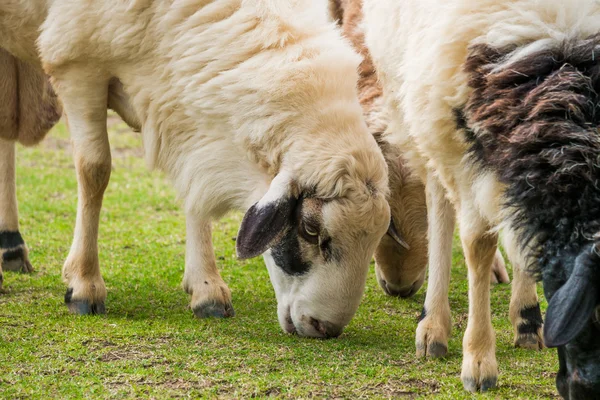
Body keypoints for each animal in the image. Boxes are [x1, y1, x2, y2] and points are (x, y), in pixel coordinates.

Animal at [1, 0, 394, 338]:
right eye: (311, 230)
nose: (325, 328)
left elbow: (196, 193)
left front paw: (207, 289)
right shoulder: (76, 63)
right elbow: (94, 169)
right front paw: (84, 284)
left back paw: (10, 247)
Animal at [360, 0, 600, 394]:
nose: (582, 390)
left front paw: (527, 319)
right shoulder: (458, 140)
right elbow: (478, 244)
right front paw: (478, 361)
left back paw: (526, 317)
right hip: (418, 107)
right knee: (438, 202)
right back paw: (433, 325)